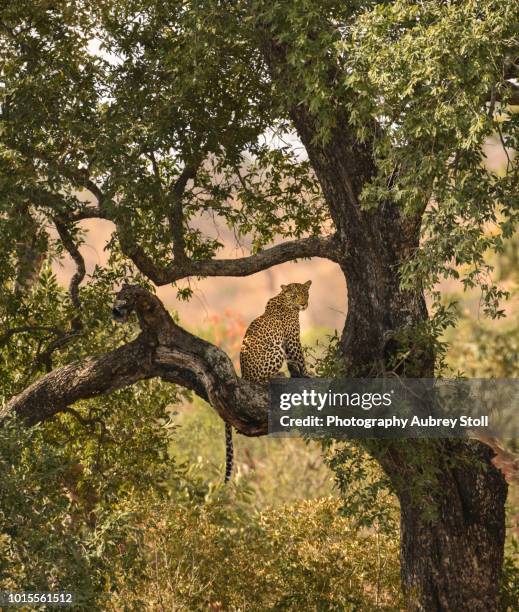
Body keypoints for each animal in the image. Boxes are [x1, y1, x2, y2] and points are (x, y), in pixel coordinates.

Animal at [224, 280, 312, 482]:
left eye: (305, 294)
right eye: (295, 295)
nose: (304, 304)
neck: (285, 301)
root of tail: (245, 376)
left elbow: (295, 364)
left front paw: (299, 375)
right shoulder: (292, 340)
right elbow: (300, 359)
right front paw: (308, 375)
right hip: (275, 350)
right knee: (263, 381)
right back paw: (278, 377)